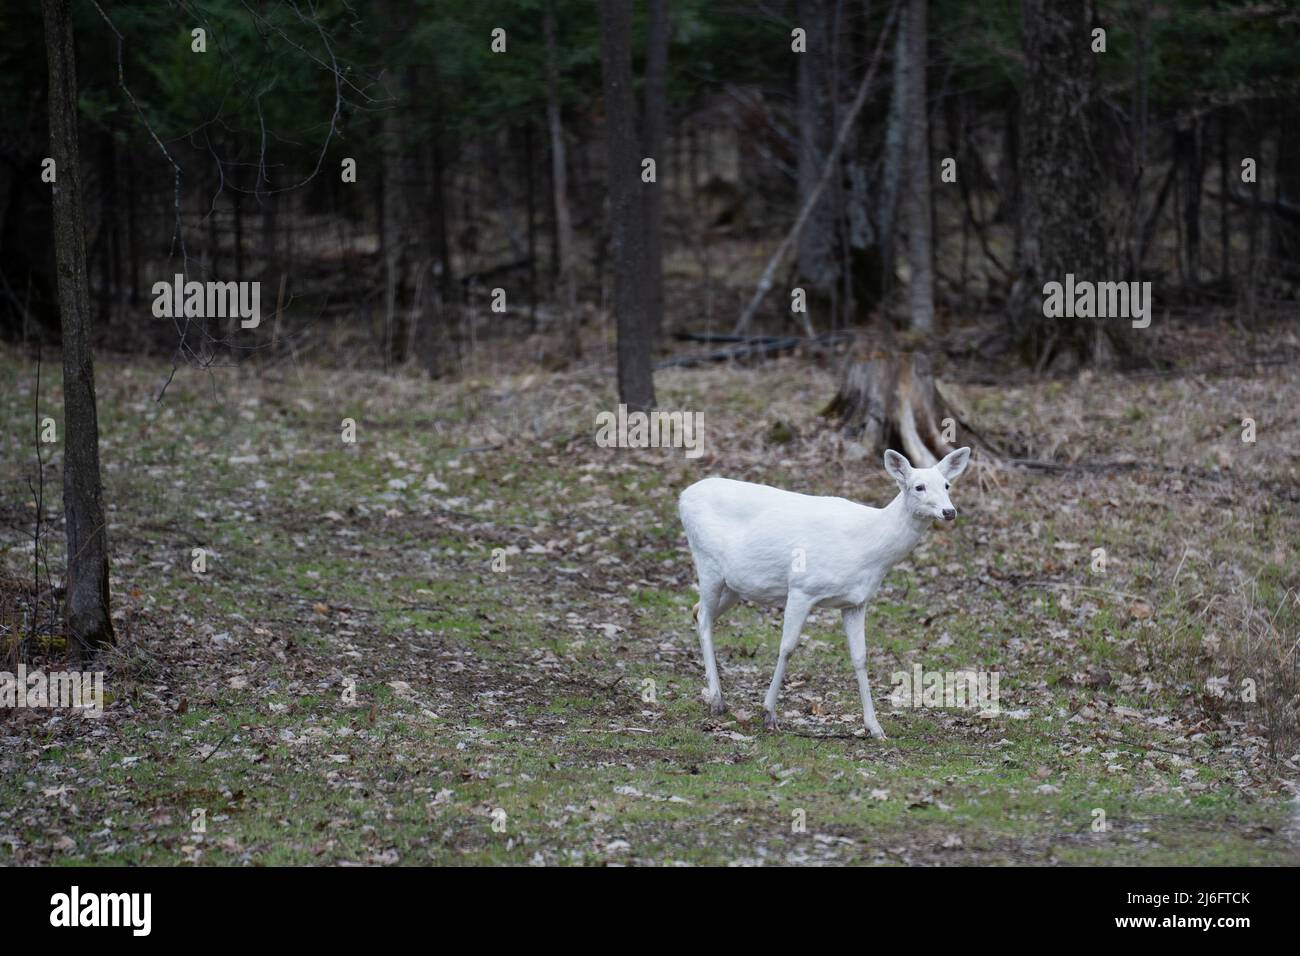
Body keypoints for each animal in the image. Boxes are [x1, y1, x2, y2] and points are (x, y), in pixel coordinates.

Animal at [678, 447, 971, 739]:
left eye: (947, 485)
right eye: (919, 486)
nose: (949, 511)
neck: (867, 549)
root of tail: (683, 496)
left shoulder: (856, 602)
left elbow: (860, 658)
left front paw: (875, 727)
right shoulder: (801, 587)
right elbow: (787, 647)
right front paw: (769, 713)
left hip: (735, 584)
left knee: (697, 610)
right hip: (708, 563)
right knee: (703, 618)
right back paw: (717, 699)